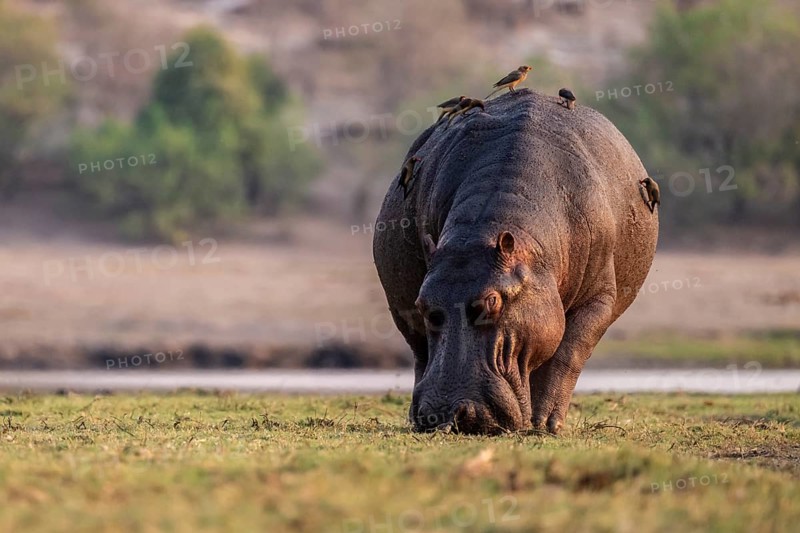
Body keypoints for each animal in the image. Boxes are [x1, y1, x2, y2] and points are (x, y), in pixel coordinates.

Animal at [372, 89, 658, 434]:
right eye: (423, 305)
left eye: (492, 301)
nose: (448, 414)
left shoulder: (599, 297)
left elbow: (568, 353)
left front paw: (546, 424)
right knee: (420, 354)